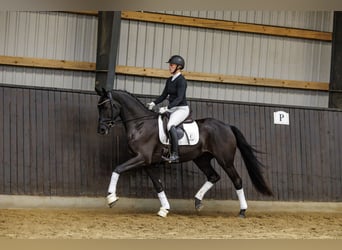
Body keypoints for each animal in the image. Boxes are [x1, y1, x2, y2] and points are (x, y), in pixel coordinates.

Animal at [96, 89, 272, 217]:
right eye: (99, 107)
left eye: (106, 107)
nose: (101, 130)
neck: (140, 124)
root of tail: (227, 126)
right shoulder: (147, 163)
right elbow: (158, 185)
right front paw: (164, 209)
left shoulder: (141, 158)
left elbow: (117, 169)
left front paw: (111, 198)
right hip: (201, 159)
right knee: (213, 176)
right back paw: (198, 201)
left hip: (225, 160)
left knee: (237, 180)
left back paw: (242, 211)